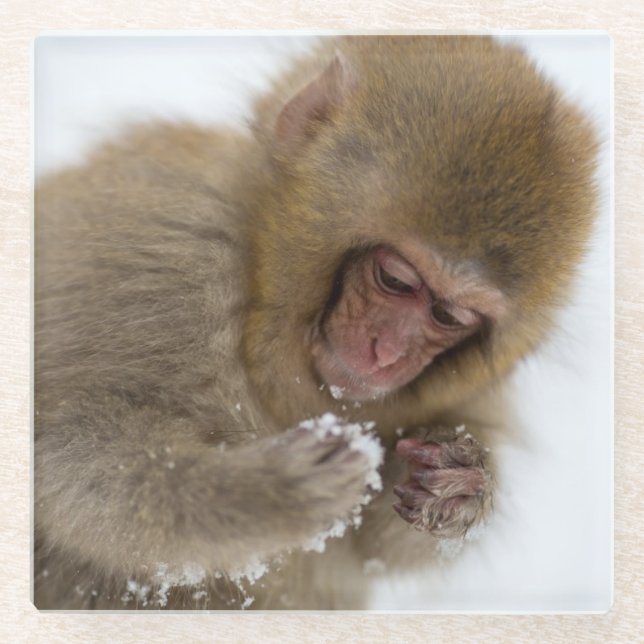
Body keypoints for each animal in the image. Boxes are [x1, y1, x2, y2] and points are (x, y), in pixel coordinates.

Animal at [34, 36, 599, 610]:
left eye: (447, 315)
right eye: (395, 279)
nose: (386, 353)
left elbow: (370, 550)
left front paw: (460, 484)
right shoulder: (167, 252)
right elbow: (65, 451)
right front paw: (264, 493)